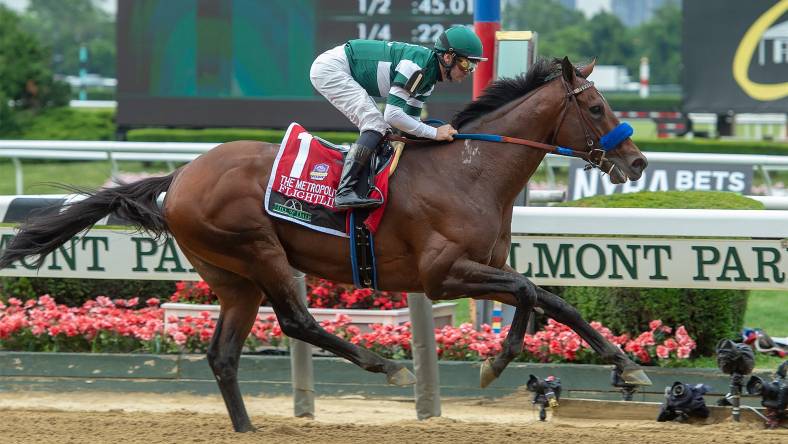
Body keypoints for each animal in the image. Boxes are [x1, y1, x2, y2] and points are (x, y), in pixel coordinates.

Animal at [1, 57, 648, 432]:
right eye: (596, 107)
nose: (637, 161)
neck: (471, 171)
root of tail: (180, 175)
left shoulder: (480, 266)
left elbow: (546, 299)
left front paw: (623, 367)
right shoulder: (442, 273)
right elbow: (532, 291)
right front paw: (497, 364)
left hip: (231, 277)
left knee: (223, 354)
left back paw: (246, 428)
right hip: (257, 250)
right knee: (296, 321)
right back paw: (387, 366)